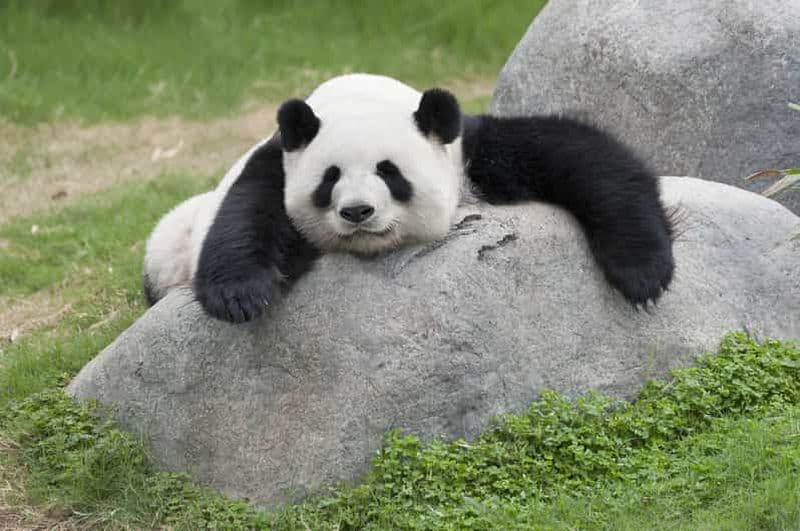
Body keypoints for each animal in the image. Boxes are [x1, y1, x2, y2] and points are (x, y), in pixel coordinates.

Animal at [144, 73, 675, 323]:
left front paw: (642, 272)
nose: (358, 212)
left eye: (389, 172)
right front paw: (241, 296)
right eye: (330, 179)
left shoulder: (469, 151)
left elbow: (582, 156)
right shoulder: (277, 162)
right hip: (170, 245)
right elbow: (246, 216)